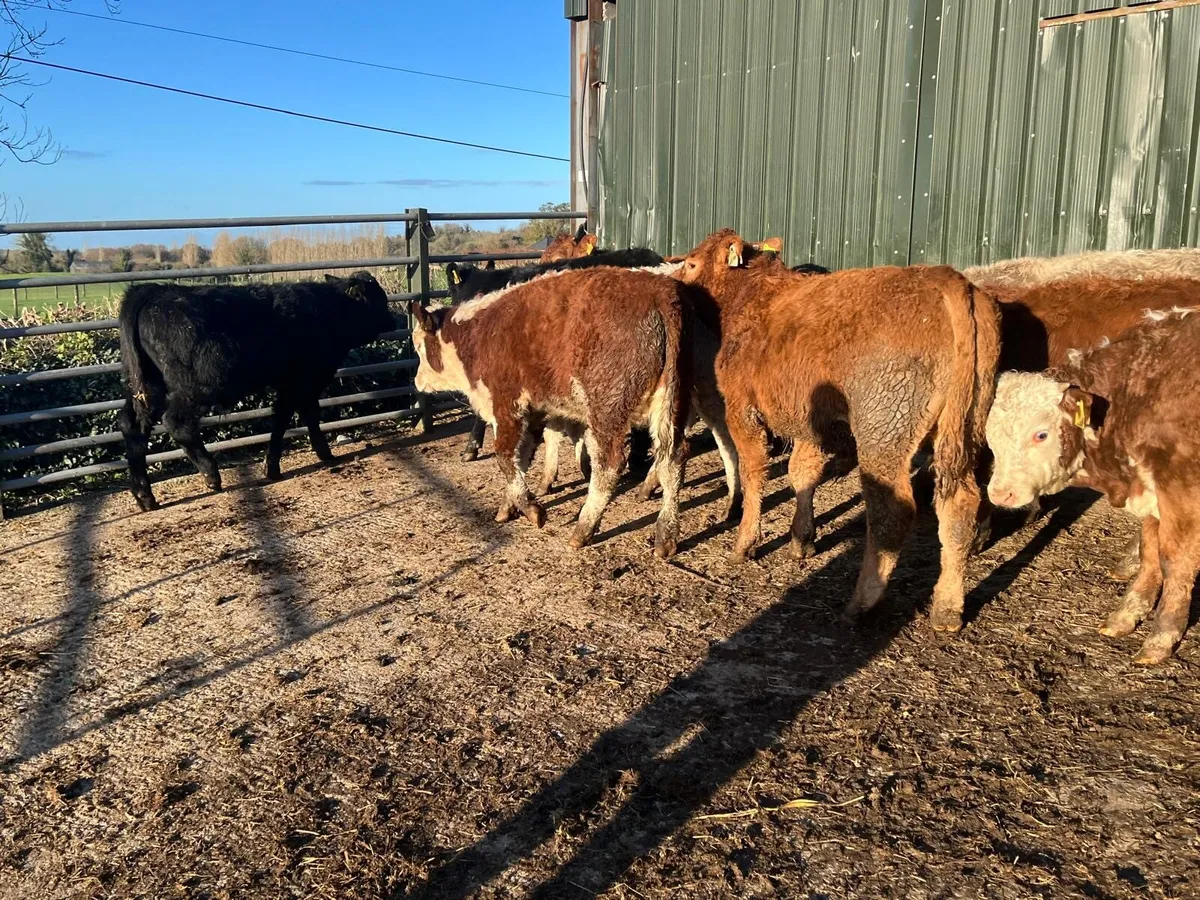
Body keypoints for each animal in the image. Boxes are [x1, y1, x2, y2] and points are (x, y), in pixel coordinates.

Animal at [118, 272, 395, 512]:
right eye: (379, 298)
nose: (393, 319)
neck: (330, 309)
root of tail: (154, 290)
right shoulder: (303, 380)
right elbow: (291, 417)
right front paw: (280, 465)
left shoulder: (297, 383)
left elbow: (298, 415)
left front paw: (314, 454)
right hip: (193, 388)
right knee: (177, 423)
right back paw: (210, 474)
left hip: (146, 388)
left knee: (132, 426)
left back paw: (144, 496)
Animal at [409, 266, 697, 557]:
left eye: (420, 347)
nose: (417, 382)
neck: (477, 335)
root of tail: (659, 291)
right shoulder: (533, 414)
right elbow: (521, 459)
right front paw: (508, 507)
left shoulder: (507, 407)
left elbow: (504, 458)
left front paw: (532, 510)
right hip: (671, 403)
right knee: (673, 458)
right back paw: (666, 535)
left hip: (608, 409)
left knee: (610, 464)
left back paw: (583, 529)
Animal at [676, 229, 1000, 631]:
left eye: (691, 263)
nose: (676, 282)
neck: (753, 297)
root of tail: (947, 279)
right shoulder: (812, 421)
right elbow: (802, 474)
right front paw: (802, 539)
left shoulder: (742, 409)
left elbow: (753, 474)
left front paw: (744, 544)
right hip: (964, 429)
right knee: (960, 504)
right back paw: (947, 608)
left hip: (883, 428)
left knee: (891, 513)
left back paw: (862, 603)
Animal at [984, 307, 1200, 664]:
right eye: (990, 435)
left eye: (1041, 434)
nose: (1001, 493)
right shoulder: (1151, 491)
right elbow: (1149, 551)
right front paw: (1126, 615)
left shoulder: (1181, 492)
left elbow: (1174, 561)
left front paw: (1161, 637)